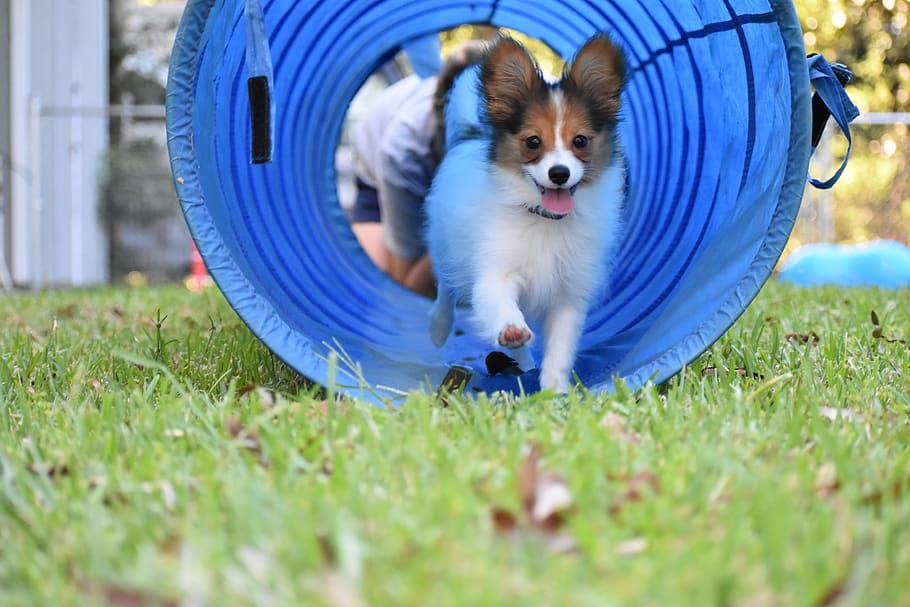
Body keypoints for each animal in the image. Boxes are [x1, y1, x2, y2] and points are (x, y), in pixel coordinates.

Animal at [426, 34, 628, 394]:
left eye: (580, 141)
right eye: (533, 142)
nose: (559, 173)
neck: (546, 219)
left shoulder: (568, 296)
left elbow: (560, 350)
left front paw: (554, 393)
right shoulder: (494, 273)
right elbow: (500, 304)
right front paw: (511, 328)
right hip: (445, 246)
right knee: (445, 291)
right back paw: (439, 327)